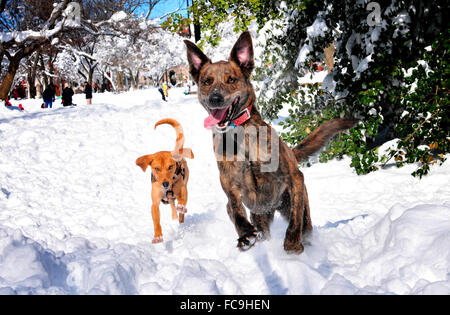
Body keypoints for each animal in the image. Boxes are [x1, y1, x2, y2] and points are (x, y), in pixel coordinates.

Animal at [184, 32, 356, 254]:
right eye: (206, 81)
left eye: (231, 80)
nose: (215, 98)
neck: (240, 136)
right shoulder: (231, 188)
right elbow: (236, 211)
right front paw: (246, 235)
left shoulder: (294, 178)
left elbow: (295, 219)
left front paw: (292, 242)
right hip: (259, 216)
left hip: (296, 205)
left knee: (304, 223)